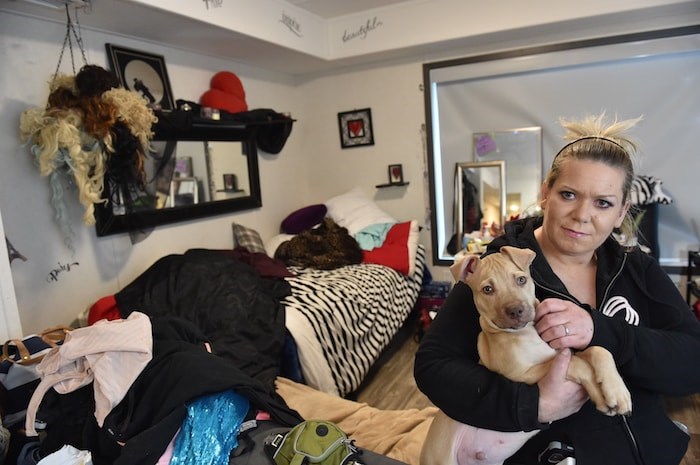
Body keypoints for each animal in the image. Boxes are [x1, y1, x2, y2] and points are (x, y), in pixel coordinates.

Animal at [422, 246, 636, 464]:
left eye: (521, 280)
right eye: (488, 290)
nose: (516, 310)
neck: (529, 332)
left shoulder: (565, 348)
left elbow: (598, 350)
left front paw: (617, 393)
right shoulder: (520, 373)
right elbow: (577, 364)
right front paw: (600, 392)